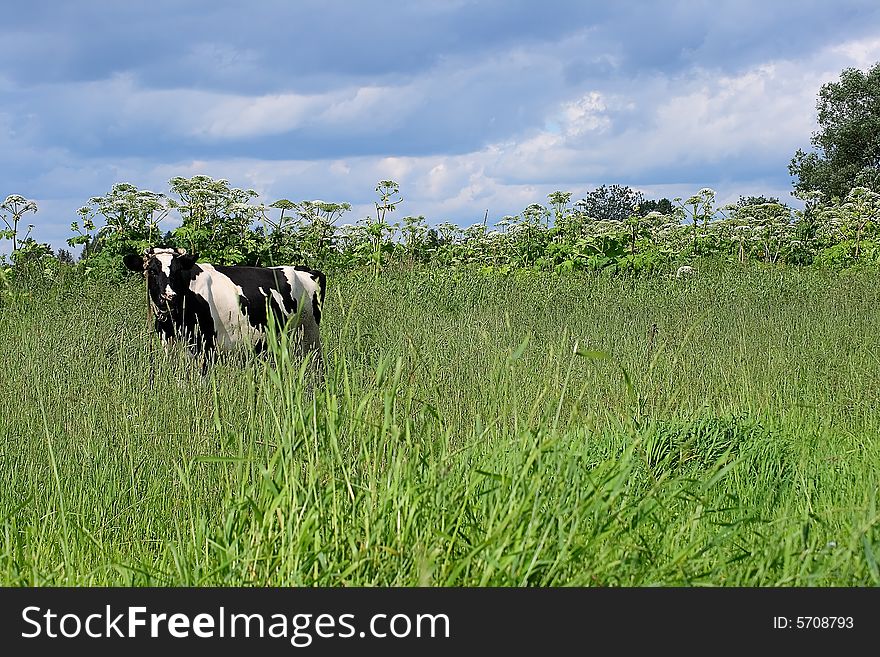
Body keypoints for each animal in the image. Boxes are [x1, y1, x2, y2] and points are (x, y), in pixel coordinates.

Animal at [124, 246, 326, 380]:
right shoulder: (170, 345)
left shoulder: (206, 345)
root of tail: (303, 268)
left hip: (310, 334)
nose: (169, 297)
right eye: (152, 270)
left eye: (178, 270)